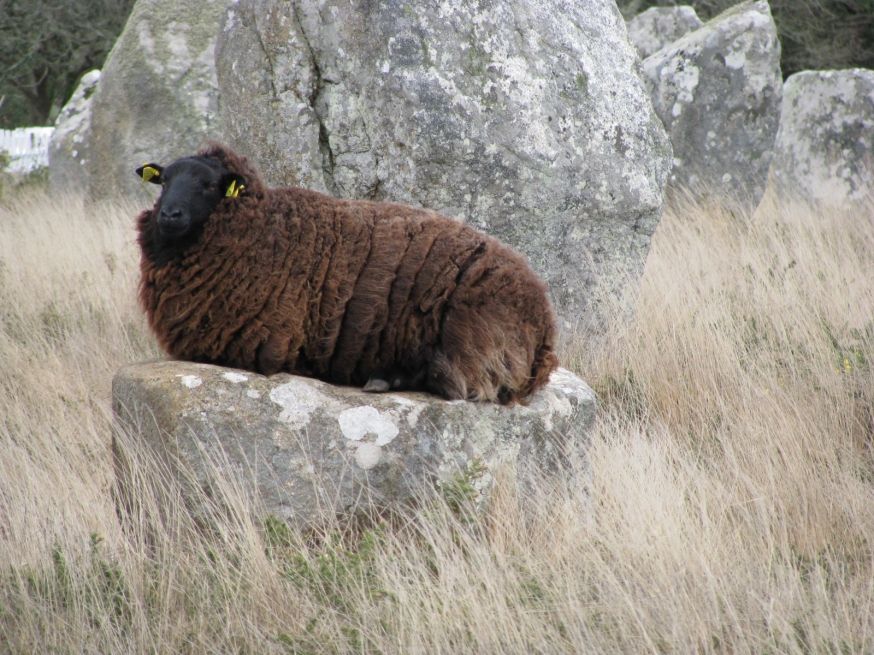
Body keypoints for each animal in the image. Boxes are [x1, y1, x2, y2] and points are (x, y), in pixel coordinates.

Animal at [136, 144, 560, 404]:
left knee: (455, 382)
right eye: (164, 180)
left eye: (209, 185)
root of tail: (546, 326)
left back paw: (385, 376)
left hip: (474, 344)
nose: (169, 215)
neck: (266, 225)